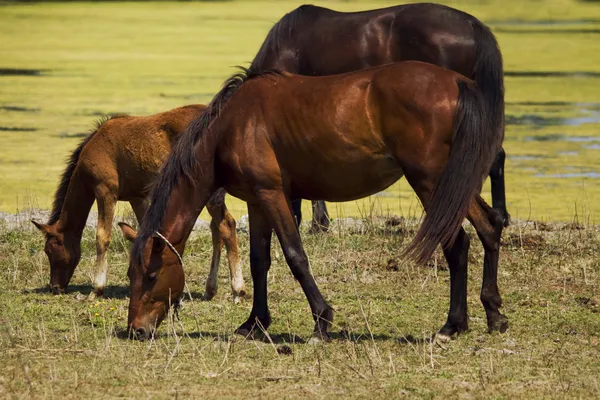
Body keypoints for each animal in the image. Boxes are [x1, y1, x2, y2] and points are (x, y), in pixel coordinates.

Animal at [29, 104, 246, 302]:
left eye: (49, 250)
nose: (55, 287)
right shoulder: (137, 197)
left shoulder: (105, 191)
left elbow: (102, 237)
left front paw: (96, 289)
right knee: (216, 229)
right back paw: (211, 289)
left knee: (226, 225)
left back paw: (238, 290)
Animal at [125, 61, 506, 342]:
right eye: (131, 274)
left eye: (152, 274)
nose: (136, 330)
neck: (232, 125)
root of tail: (458, 83)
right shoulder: (257, 202)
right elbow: (259, 261)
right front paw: (254, 323)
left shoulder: (273, 195)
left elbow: (295, 256)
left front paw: (322, 322)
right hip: (455, 184)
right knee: (488, 227)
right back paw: (493, 313)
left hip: (432, 183)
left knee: (457, 244)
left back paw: (452, 325)